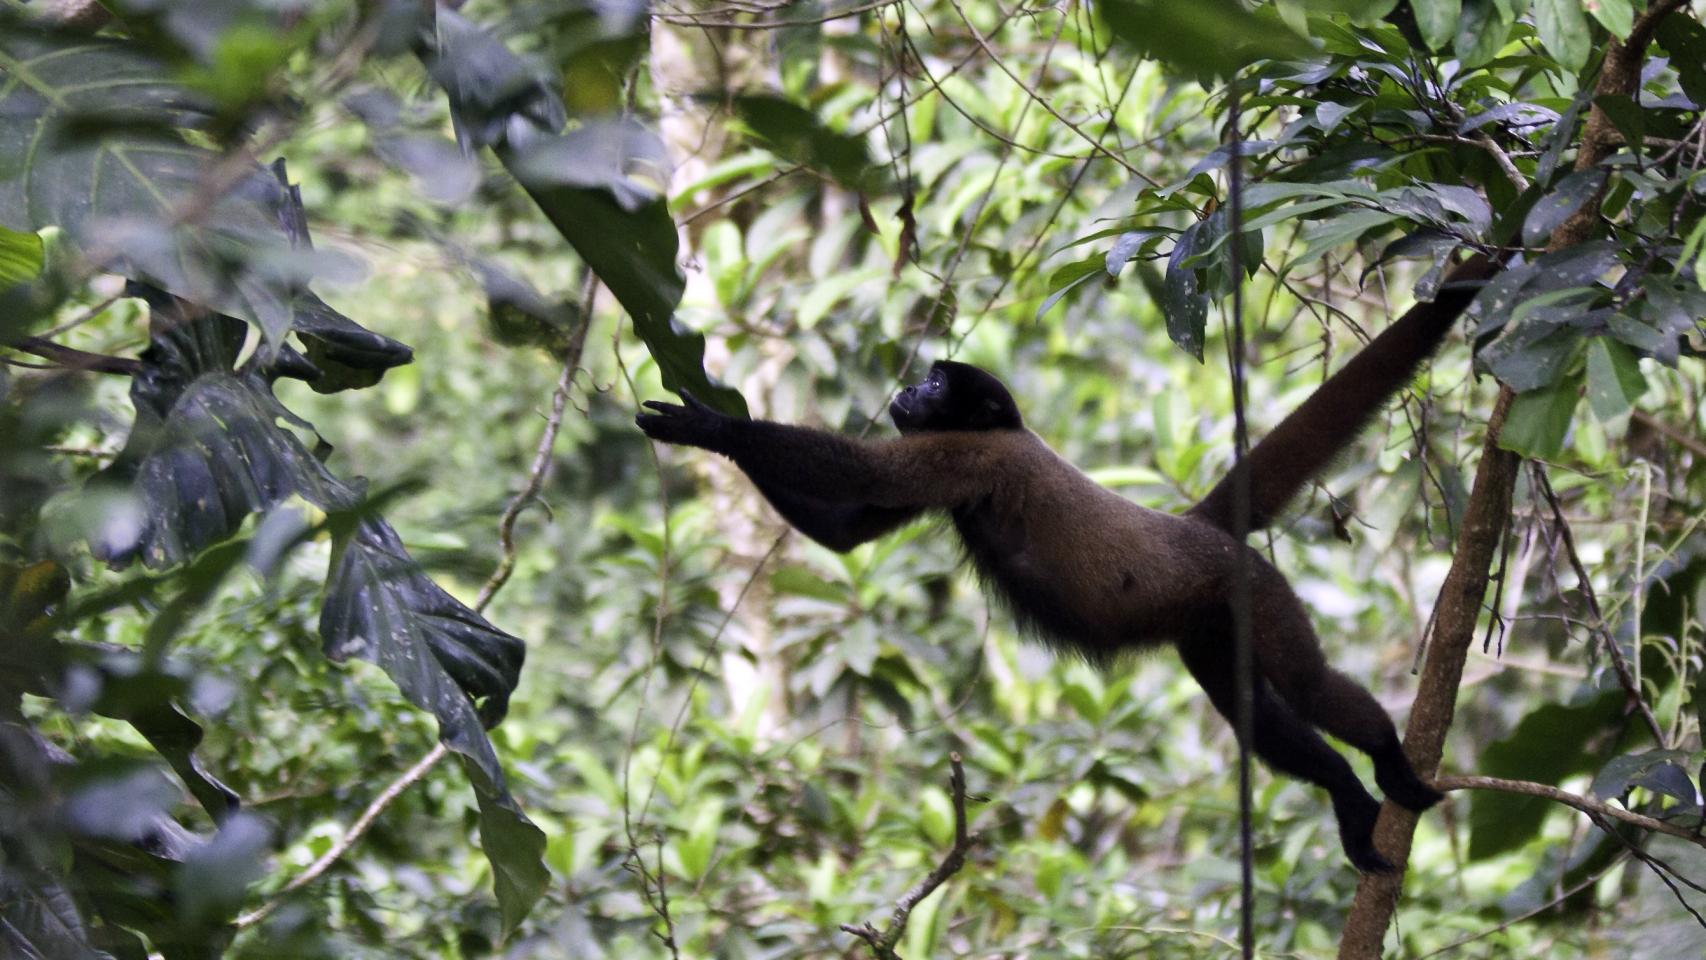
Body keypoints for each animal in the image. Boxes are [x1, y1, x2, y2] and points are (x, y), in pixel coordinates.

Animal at [637, 253, 1497, 872]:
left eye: (937, 381)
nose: (907, 387)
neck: (998, 428)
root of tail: (1195, 526)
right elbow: (846, 530)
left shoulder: (972, 456)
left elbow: (856, 474)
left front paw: (708, 425)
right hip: (1211, 623)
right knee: (1255, 717)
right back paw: (1346, 794)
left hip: (1256, 587)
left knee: (1310, 686)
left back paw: (1385, 762)